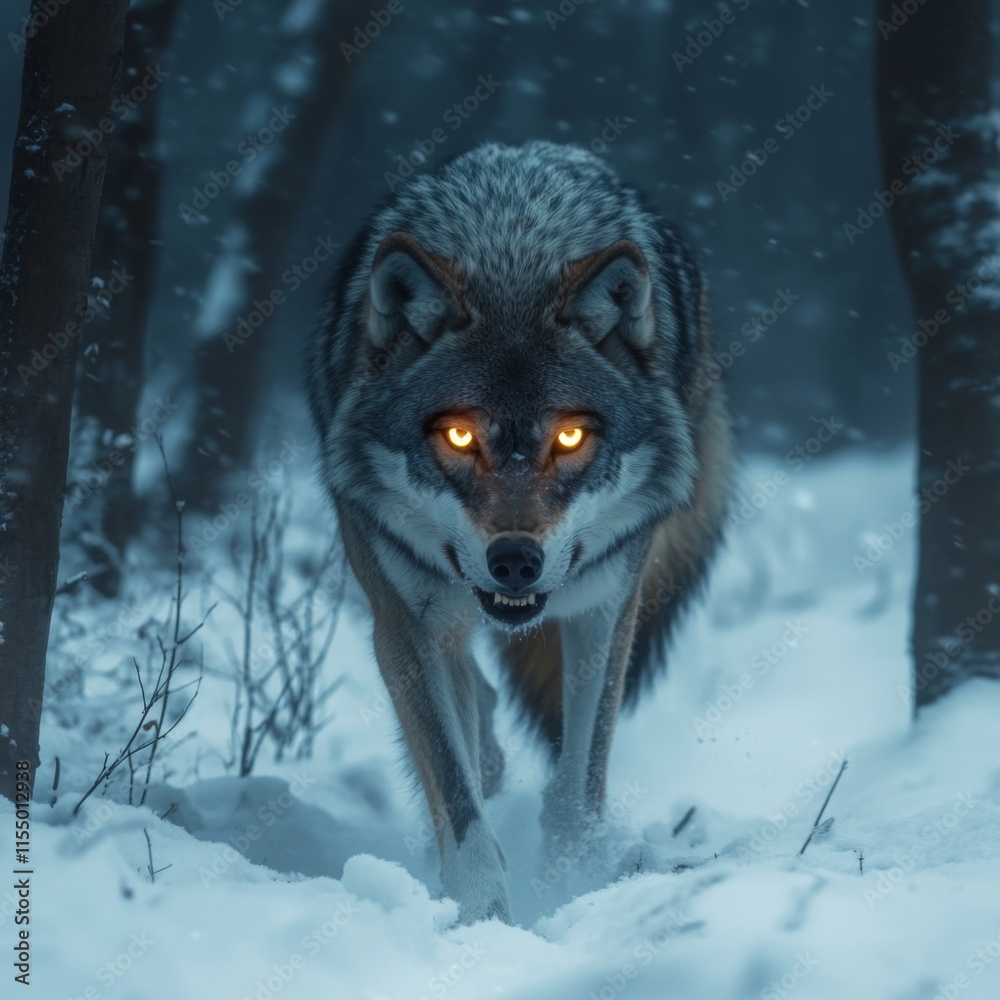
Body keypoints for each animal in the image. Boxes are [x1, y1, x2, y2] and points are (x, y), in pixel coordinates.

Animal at [307, 141, 732, 924]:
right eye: (457, 434)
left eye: (569, 437)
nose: (514, 561)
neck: (513, 259)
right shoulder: (404, 618)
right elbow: (458, 797)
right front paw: (484, 918)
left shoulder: (606, 606)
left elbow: (576, 790)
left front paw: (574, 882)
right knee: (474, 705)